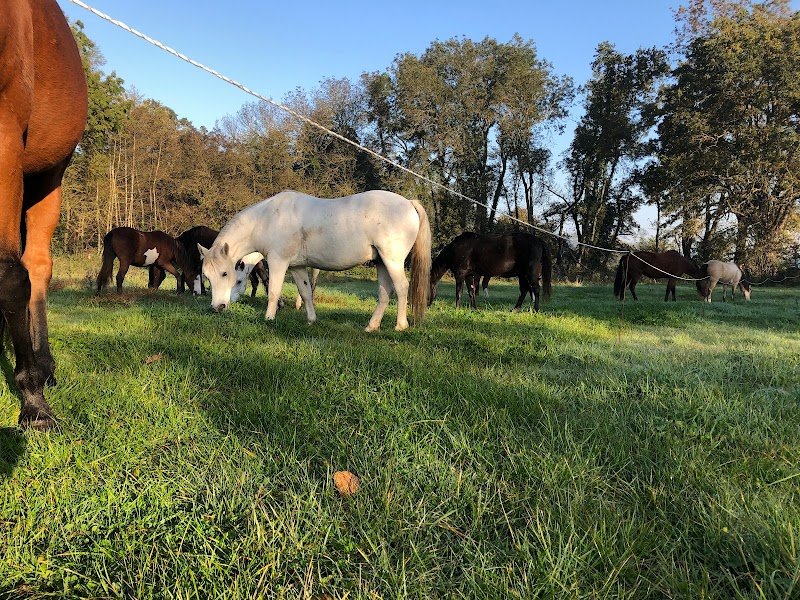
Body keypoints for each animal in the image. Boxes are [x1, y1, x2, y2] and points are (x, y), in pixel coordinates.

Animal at [199, 190, 431, 331]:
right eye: (207, 277)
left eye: (227, 274)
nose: (218, 307)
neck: (268, 218)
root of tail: (408, 203)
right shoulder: (297, 267)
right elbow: (306, 293)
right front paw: (311, 320)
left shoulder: (278, 262)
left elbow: (273, 291)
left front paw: (269, 318)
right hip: (382, 263)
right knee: (384, 293)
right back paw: (371, 327)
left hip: (392, 261)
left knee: (401, 288)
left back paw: (400, 325)